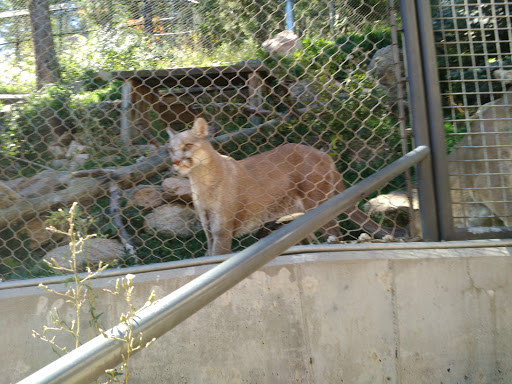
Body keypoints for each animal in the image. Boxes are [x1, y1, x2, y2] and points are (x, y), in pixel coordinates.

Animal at [168, 118, 396, 255]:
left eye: (188, 145)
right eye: (170, 149)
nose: (176, 161)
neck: (200, 180)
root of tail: (323, 154)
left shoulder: (221, 228)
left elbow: (218, 255)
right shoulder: (208, 226)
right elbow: (209, 253)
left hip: (316, 202)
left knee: (334, 231)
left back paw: (331, 245)